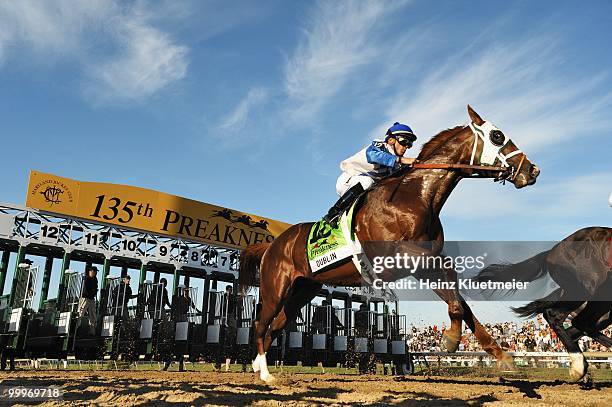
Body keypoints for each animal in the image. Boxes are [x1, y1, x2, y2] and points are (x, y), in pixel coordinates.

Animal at [239, 105, 540, 382]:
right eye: (497, 136)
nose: (532, 170)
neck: (416, 197)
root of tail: (273, 245)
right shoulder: (407, 258)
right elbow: (454, 292)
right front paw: (451, 338)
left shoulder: (424, 262)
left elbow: (461, 301)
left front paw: (500, 355)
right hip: (276, 288)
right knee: (260, 324)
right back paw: (265, 372)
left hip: (302, 290)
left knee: (275, 326)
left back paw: (258, 367)